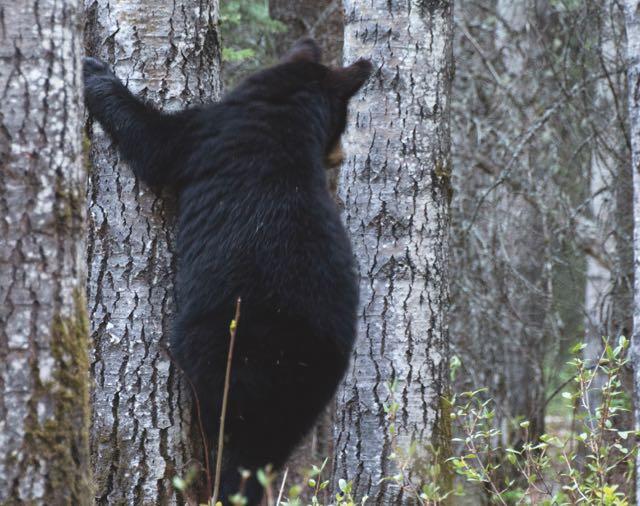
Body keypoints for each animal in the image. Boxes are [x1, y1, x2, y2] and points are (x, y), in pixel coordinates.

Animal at [86, 38, 370, 502]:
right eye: (341, 122)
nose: (340, 156)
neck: (283, 113)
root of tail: (303, 358)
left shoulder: (207, 133)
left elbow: (156, 144)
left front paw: (94, 73)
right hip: (305, 396)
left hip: (231, 349)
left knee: (230, 433)